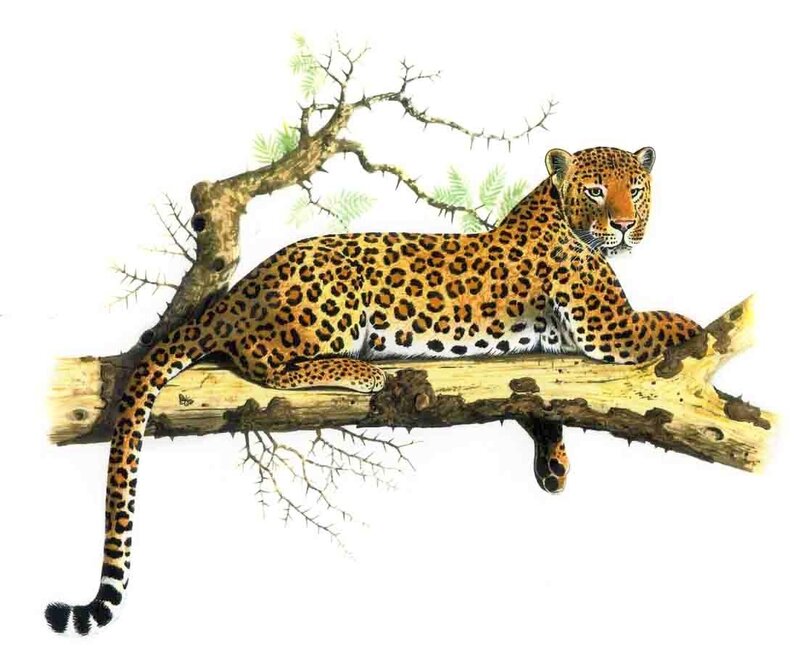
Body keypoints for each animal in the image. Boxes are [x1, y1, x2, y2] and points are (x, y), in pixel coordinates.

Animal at [46, 145, 701, 635]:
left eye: (634, 188)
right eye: (594, 192)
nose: (625, 224)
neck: (558, 214)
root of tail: (241, 288)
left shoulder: (545, 352)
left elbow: (538, 399)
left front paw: (554, 465)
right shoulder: (611, 327)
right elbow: (668, 321)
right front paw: (698, 336)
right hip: (331, 298)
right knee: (260, 359)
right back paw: (361, 370)